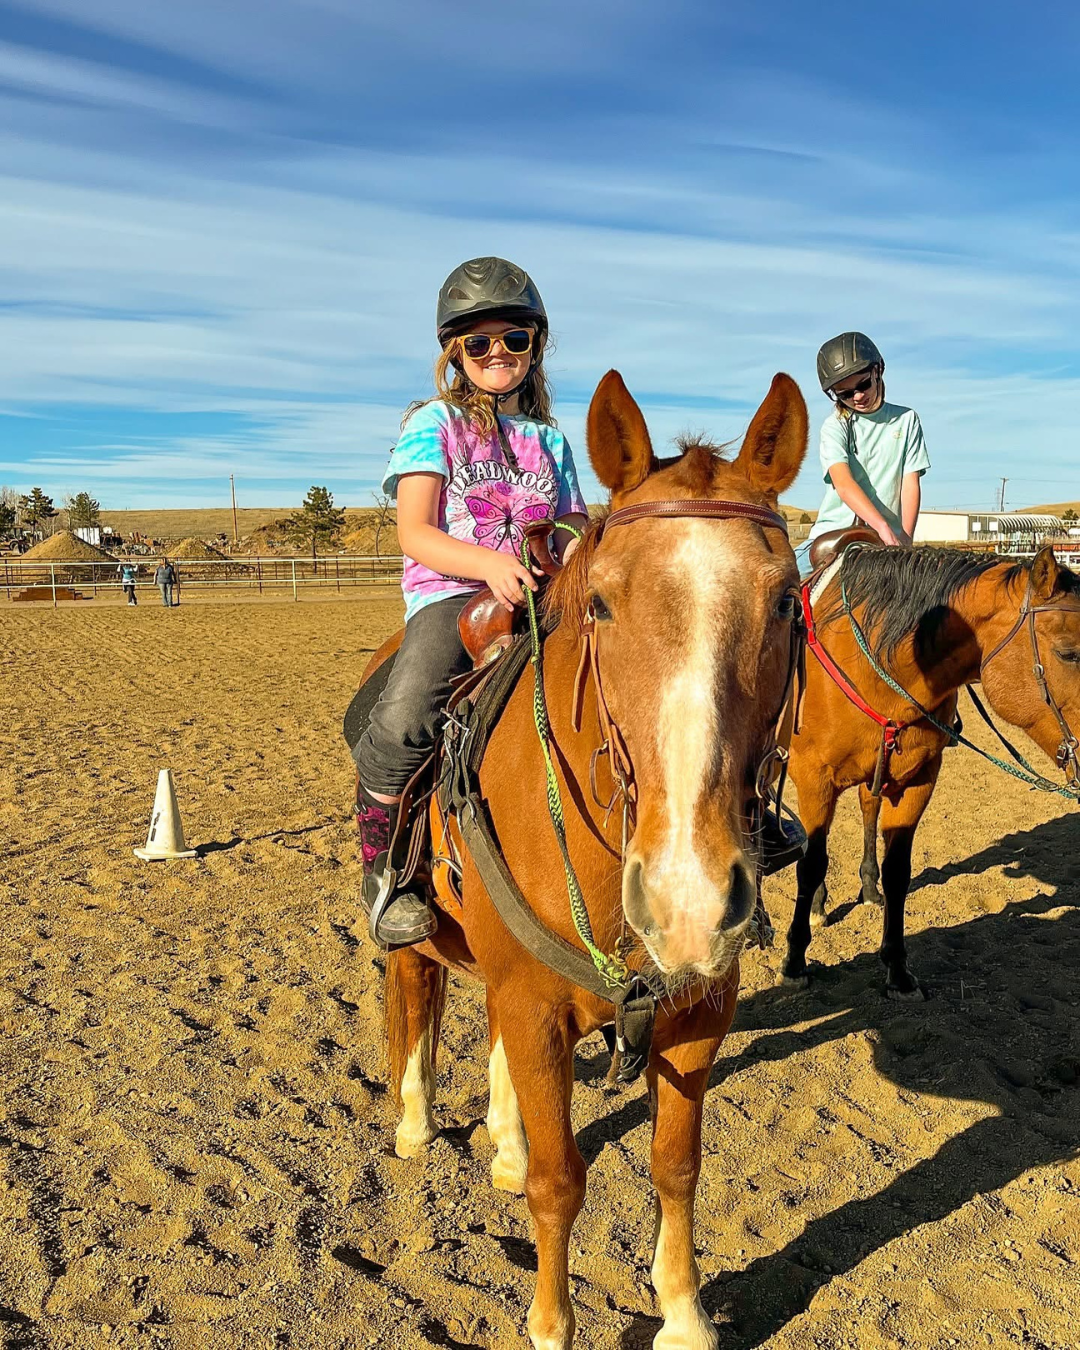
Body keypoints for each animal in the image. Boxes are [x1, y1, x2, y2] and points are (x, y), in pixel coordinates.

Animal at [357, 369, 809, 1348]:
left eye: (787, 600)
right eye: (600, 601)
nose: (686, 897)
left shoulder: (697, 1010)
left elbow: (677, 1163)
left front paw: (683, 1314)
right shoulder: (536, 1008)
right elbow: (559, 1183)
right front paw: (549, 1325)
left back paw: (501, 1138)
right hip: (421, 933)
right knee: (415, 993)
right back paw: (414, 1124)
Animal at [780, 542, 1080, 999]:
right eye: (1068, 652)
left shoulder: (918, 779)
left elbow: (898, 871)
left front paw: (898, 970)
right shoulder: (815, 779)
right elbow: (811, 862)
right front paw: (795, 961)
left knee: (868, 810)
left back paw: (868, 889)